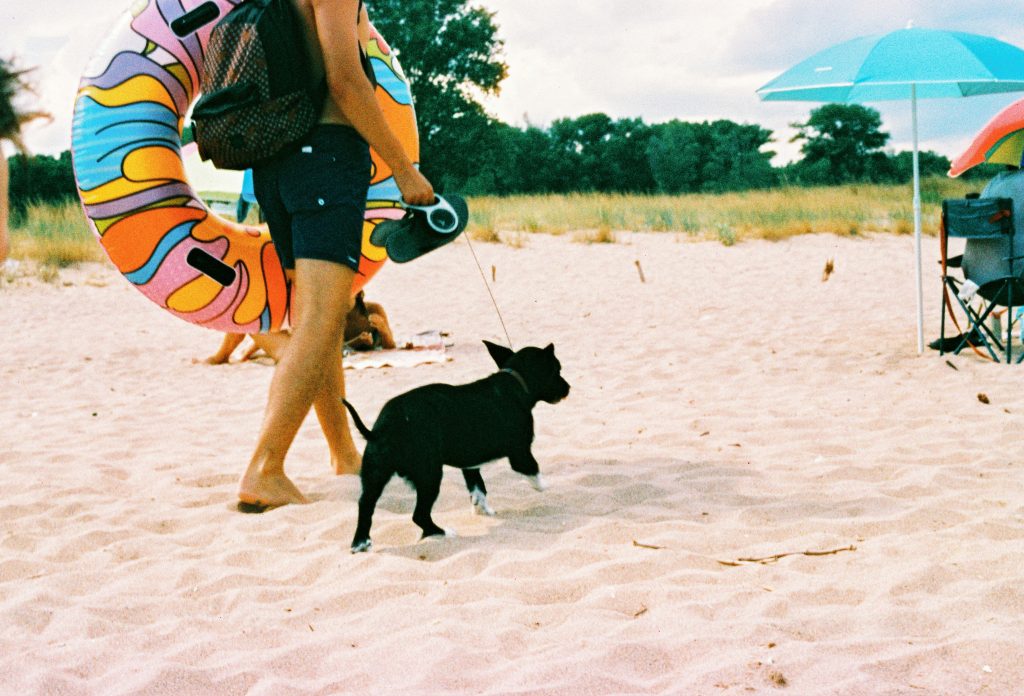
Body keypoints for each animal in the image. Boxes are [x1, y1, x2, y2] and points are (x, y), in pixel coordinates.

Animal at [342, 339, 569, 552]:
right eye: (557, 370)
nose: (568, 388)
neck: (515, 381)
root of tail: (383, 429)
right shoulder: (520, 453)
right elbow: (534, 470)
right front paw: (544, 486)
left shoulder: (470, 465)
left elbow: (478, 488)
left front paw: (482, 509)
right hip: (429, 476)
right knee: (419, 515)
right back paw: (443, 532)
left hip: (375, 474)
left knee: (365, 505)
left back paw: (360, 543)